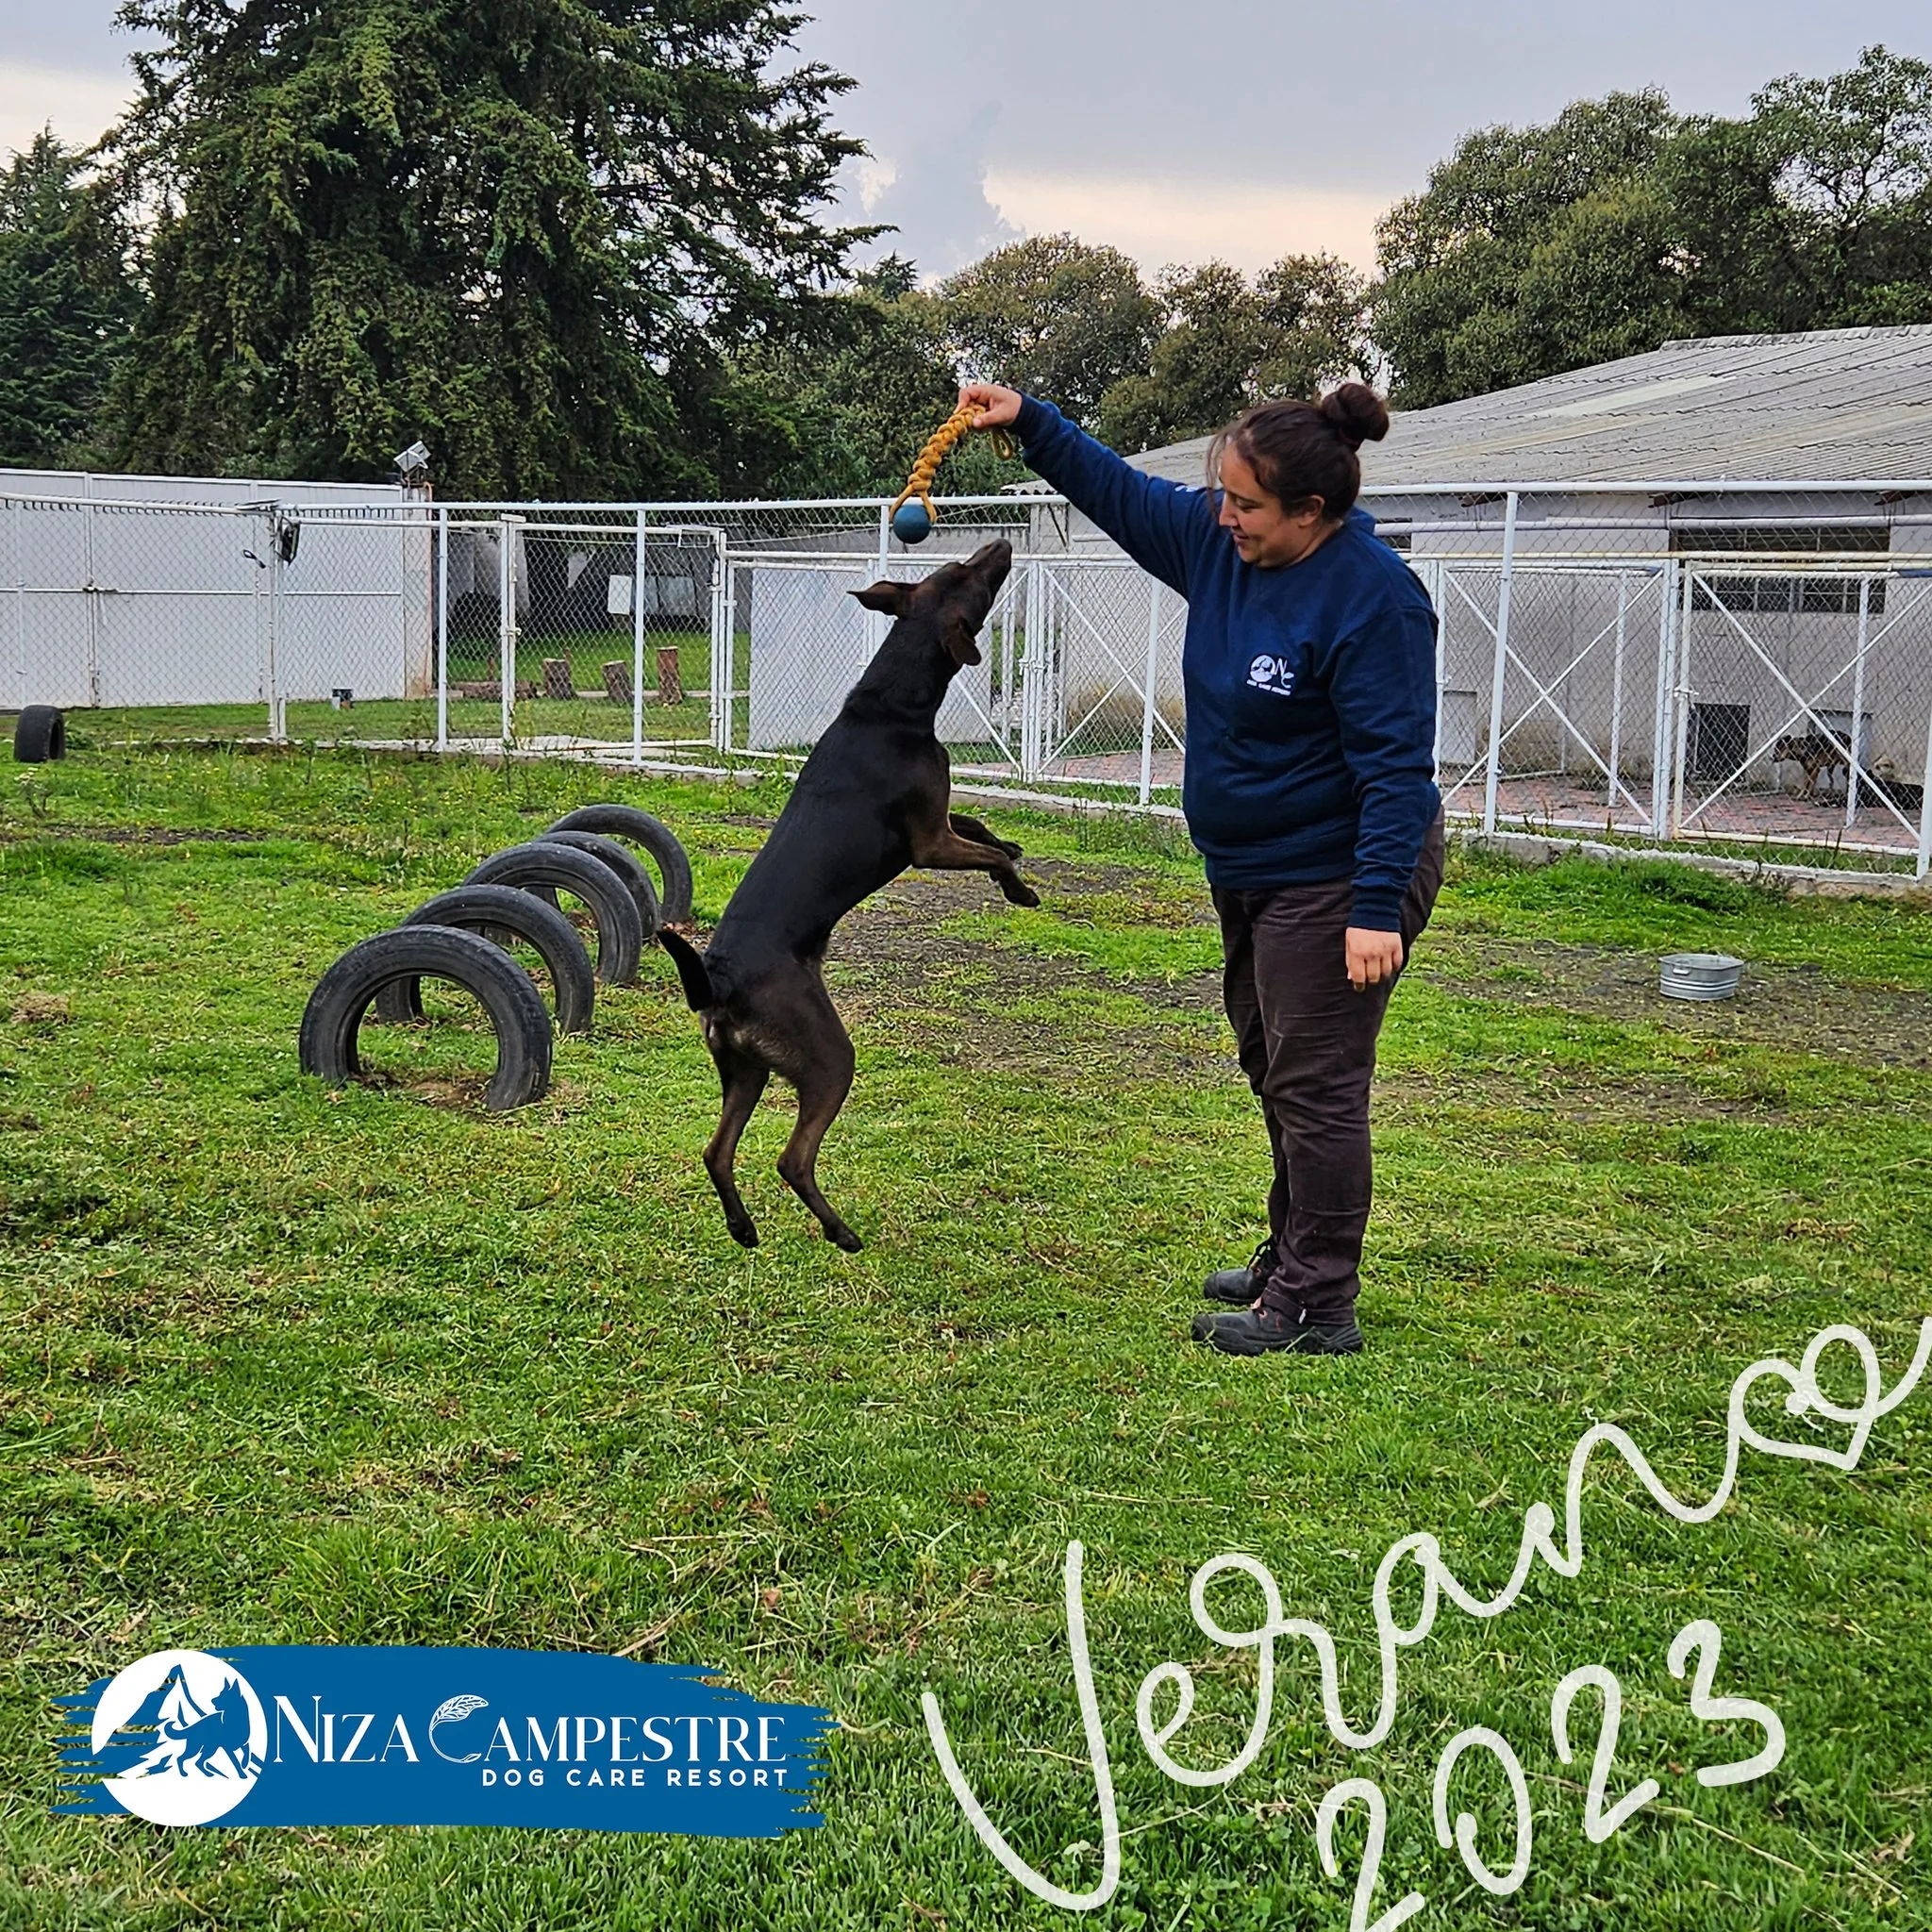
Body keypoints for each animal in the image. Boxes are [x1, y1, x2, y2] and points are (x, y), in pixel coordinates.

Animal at [657, 541, 1035, 1252]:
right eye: (968, 575)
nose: (999, 545)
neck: (893, 705)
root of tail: (718, 980)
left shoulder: (937, 823)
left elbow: (981, 827)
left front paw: (1014, 853)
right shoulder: (927, 843)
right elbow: (986, 851)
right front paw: (1018, 887)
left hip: (744, 1068)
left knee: (716, 1152)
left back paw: (743, 1227)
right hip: (827, 1060)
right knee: (792, 1158)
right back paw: (841, 1232)